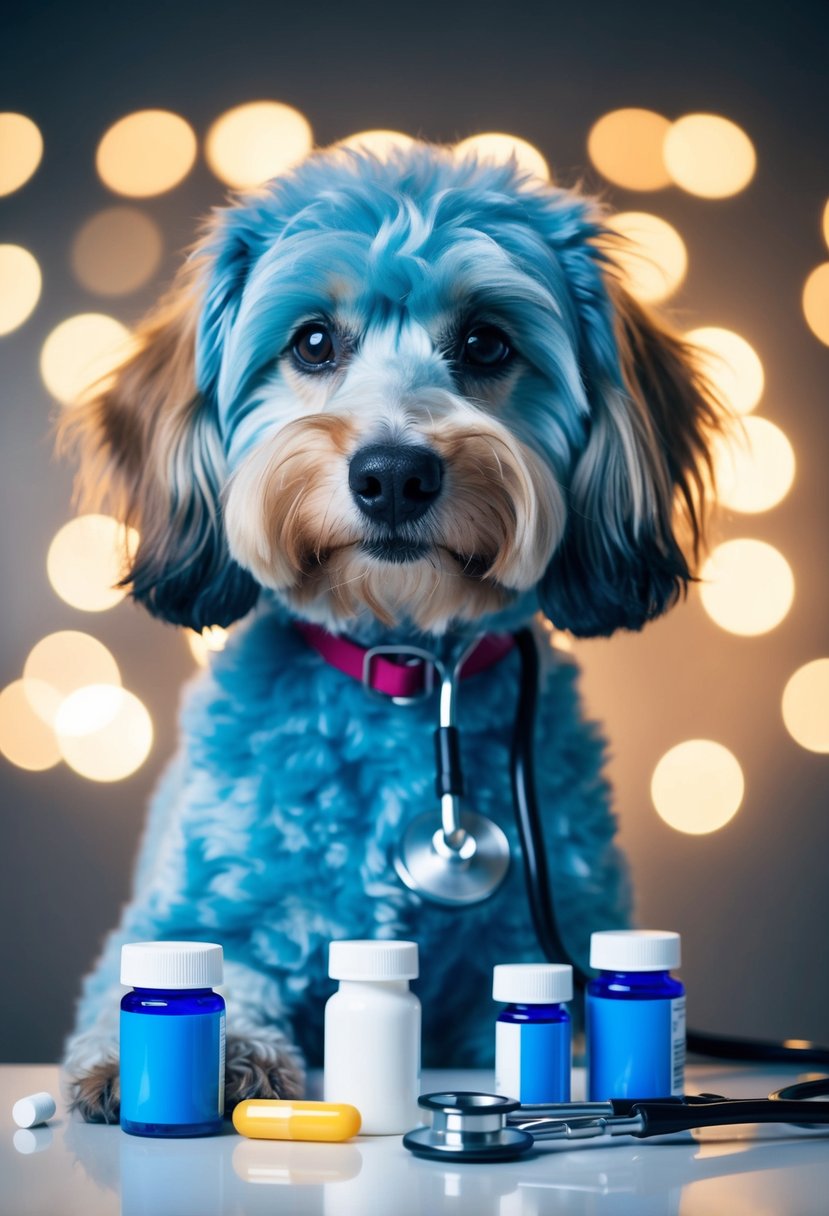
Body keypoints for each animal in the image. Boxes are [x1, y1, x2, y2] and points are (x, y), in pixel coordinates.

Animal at [59, 142, 714, 1118]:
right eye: (312, 342)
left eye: (484, 341)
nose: (395, 474)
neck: (407, 664)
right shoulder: (184, 918)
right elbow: (187, 982)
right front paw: (218, 1054)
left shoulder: (531, 949)